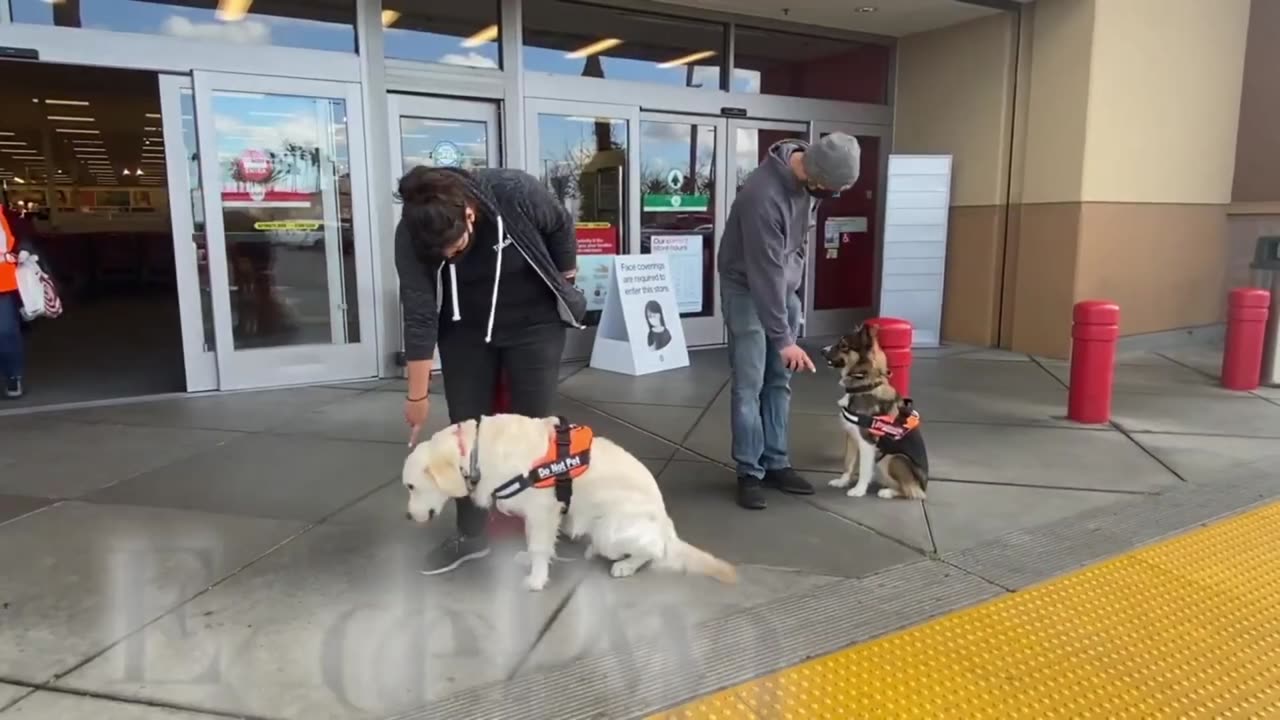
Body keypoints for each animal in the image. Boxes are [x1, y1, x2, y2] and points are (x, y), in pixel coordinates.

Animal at [404, 415, 737, 589]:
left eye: (411, 486)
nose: (407, 517)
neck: (475, 452)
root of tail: (667, 526)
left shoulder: (543, 511)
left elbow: (539, 547)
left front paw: (536, 579)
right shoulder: (534, 515)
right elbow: (534, 544)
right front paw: (528, 559)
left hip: (610, 532)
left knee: (654, 551)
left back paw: (626, 565)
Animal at [824, 325, 926, 499]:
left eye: (843, 345)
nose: (821, 351)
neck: (863, 385)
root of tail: (924, 487)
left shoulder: (867, 441)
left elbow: (864, 469)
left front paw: (859, 490)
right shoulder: (851, 436)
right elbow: (848, 463)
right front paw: (843, 482)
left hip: (894, 458)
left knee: (911, 491)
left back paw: (888, 492)